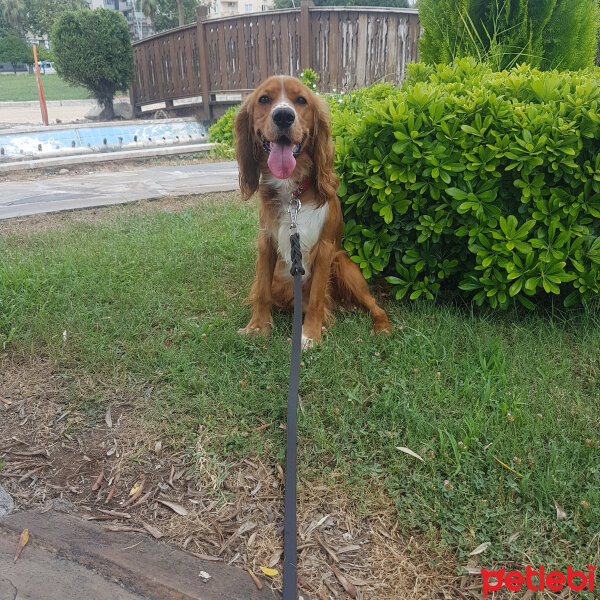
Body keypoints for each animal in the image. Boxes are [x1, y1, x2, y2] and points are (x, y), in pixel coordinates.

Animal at [234, 75, 390, 346]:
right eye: (264, 99)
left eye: (301, 100)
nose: (284, 116)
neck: (292, 192)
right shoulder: (266, 242)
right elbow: (262, 291)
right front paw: (258, 327)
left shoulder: (325, 249)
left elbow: (317, 297)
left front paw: (310, 334)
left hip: (344, 264)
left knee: (374, 304)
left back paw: (381, 326)